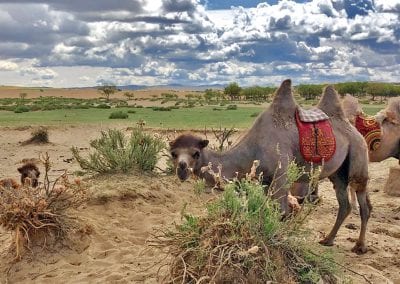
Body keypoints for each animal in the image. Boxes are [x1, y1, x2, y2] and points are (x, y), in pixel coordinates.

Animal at [170, 79, 372, 254]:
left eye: (195, 153)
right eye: (173, 153)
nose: (182, 169)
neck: (253, 149)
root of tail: (352, 127)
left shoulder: (281, 175)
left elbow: (281, 212)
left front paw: (279, 244)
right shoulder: (265, 179)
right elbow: (266, 209)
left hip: (358, 155)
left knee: (363, 201)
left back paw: (360, 246)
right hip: (338, 172)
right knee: (344, 203)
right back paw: (328, 240)